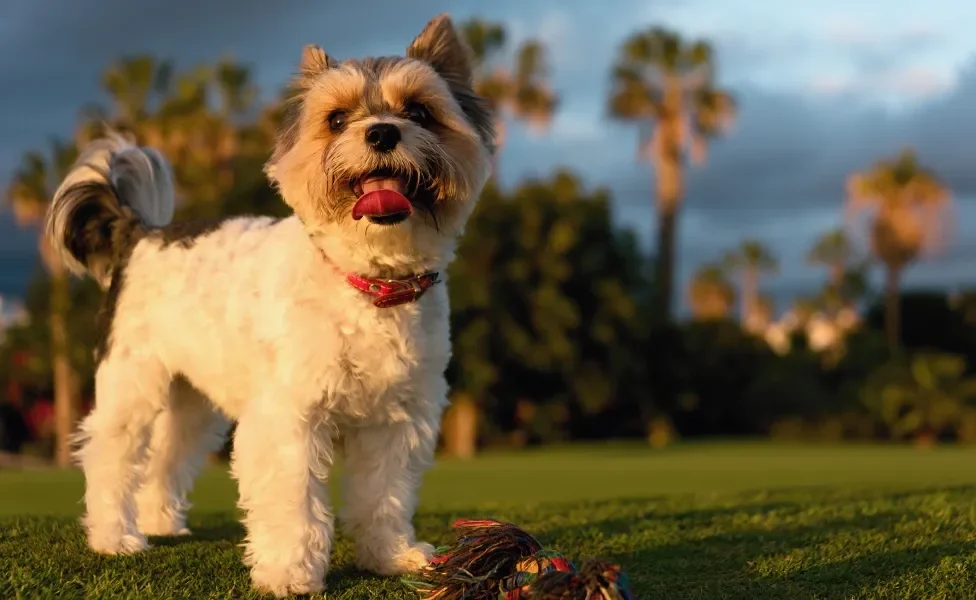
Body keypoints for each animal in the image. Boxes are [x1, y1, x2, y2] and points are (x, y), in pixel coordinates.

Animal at [43, 14, 496, 596]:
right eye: (337, 119)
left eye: (419, 111)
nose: (381, 132)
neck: (368, 285)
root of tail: (140, 233)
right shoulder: (289, 416)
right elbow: (294, 499)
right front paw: (288, 572)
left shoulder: (397, 420)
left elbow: (383, 494)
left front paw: (390, 556)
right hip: (132, 383)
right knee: (110, 453)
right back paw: (114, 536)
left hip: (191, 398)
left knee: (168, 454)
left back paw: (160, 522)